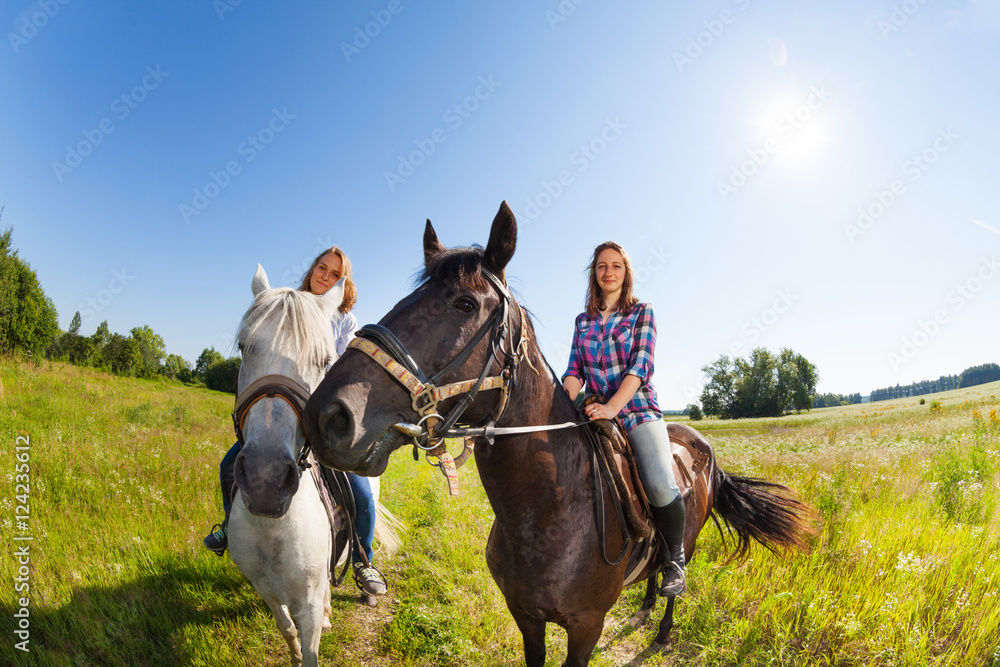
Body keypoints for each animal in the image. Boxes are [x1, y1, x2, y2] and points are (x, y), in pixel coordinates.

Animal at [227, 266, 398, 667]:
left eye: (325, 361)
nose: (265, 479)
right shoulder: (267, 592)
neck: (271, 528)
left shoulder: (307, 600)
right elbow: (287, 631)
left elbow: (310, 645)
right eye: (244, 347)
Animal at [302, 204, 812, 667]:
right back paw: (644, 608)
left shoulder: (586, 628)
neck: (548, 511)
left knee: (675, 577)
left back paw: (663, 627)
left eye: (465, 303)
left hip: (687, 537)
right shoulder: (526, 617)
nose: (327, 415)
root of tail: (701, 446)